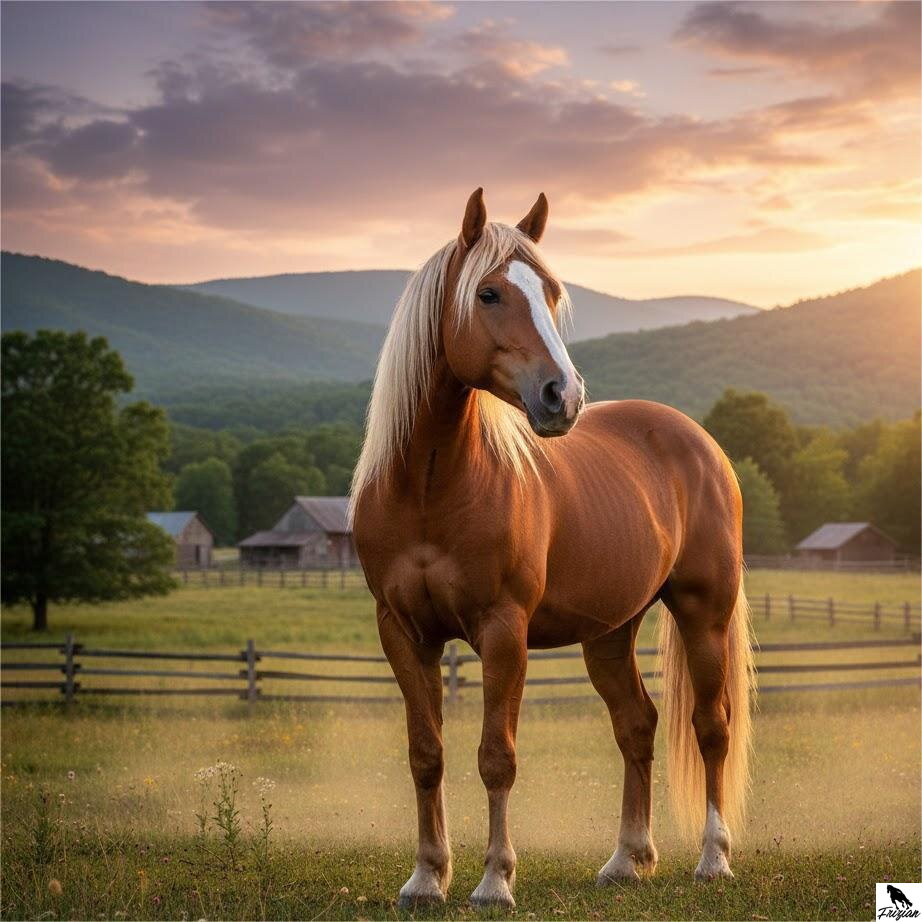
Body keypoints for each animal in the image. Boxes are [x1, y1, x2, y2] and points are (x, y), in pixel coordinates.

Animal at [351, 188, 755, 908]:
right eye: (487, 293)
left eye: (552, 292)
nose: (561, 396)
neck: (429, 490)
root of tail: (698, 441)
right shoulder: (402, 631)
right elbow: (426, 754)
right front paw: (426, 877)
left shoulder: (502, 632)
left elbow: (496, 757)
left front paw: (494, 881)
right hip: (610, 632)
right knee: (637, 725)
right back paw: (627, 860)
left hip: (702, 613)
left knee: (712, 728)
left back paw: (713, 859)